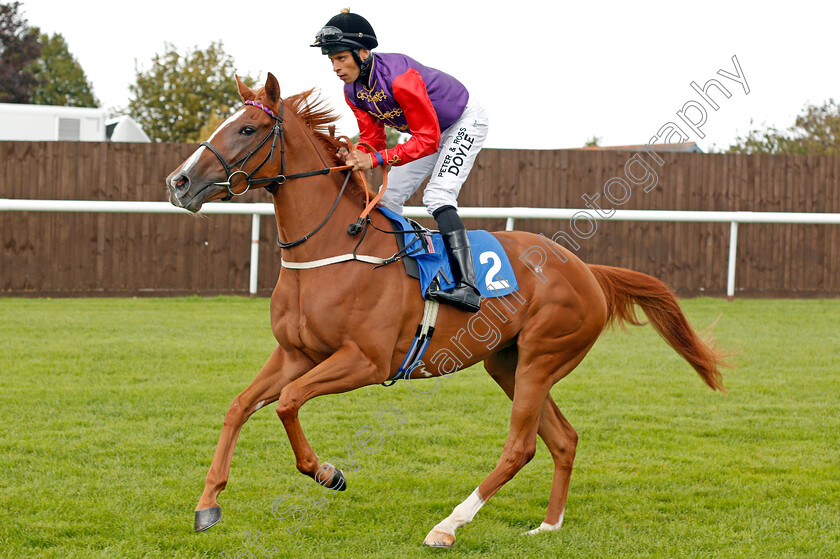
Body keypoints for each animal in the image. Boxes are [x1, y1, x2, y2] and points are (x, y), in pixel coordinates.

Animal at [166, 72, 728, 548]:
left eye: (248, 128)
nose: (178, 182)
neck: (333, 248)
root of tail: (587, 270)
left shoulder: (365, 361)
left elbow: (286, 403)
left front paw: (328, 472)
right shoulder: (295, 353)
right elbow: (240, 405)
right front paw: (207, 503)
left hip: (543, 358)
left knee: (521, 446)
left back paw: (448, 526)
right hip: (509, 362)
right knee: (563, 439)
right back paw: (548, 525)